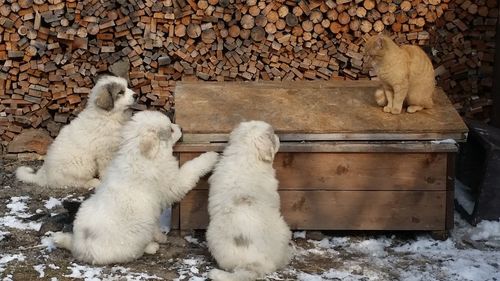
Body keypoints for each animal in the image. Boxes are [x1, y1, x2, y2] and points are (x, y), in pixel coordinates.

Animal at [50, 110, 219, 264]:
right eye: (170, 130)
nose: (181, 128)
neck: (141, 155)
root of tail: (83, 250)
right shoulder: (173, 183)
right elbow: (191, 167)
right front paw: (211, 156)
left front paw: (161, 236)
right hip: (135, 236)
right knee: (136, 252)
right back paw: (152, 247)